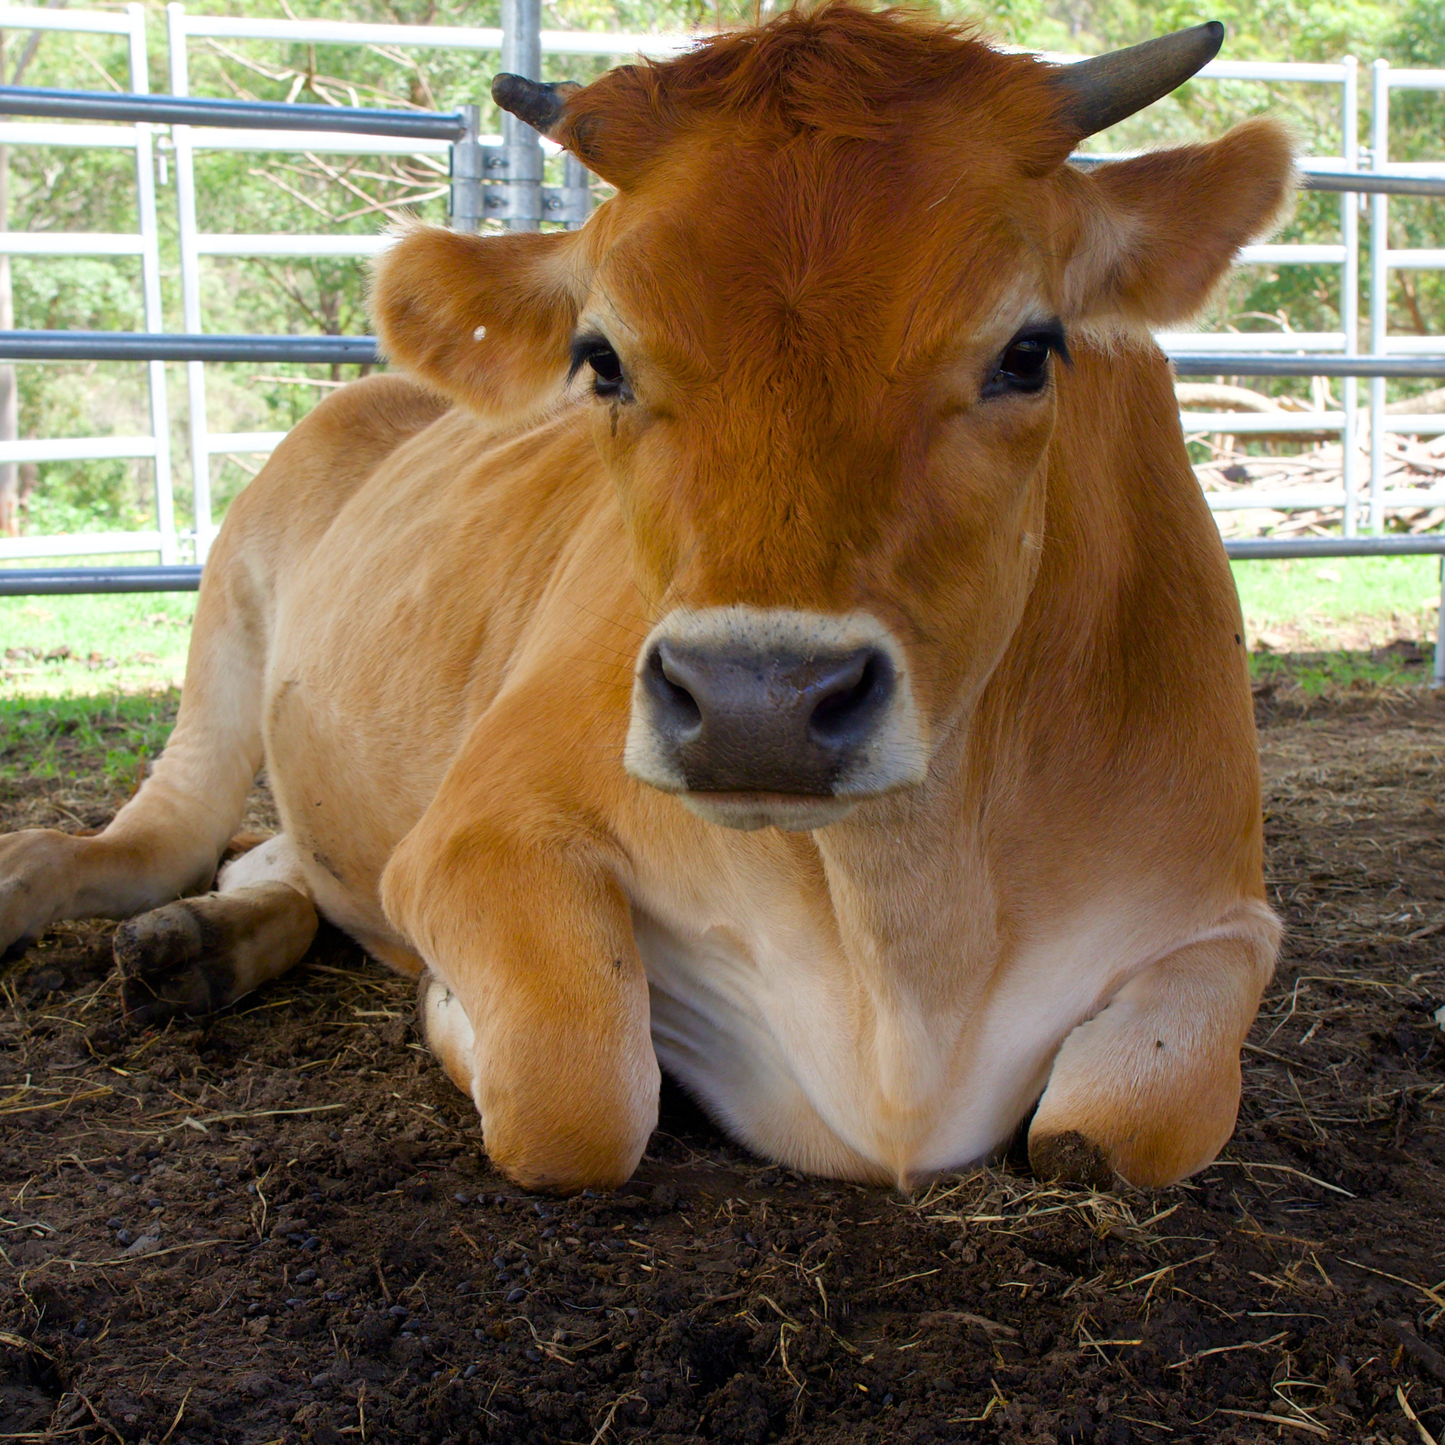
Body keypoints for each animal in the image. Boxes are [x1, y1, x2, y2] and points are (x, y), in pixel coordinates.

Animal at [0, 3, 1291, 1195]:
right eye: (602, 358)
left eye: (1026, 351)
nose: (757, 705)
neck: (903, 943)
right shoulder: (469, 834)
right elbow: (576, 1087)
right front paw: (448, 1010)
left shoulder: (1220, 914)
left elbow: (1121, 1126)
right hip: (225, 618)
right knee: (151, 840)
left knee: (269, 861)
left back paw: (200, 945)